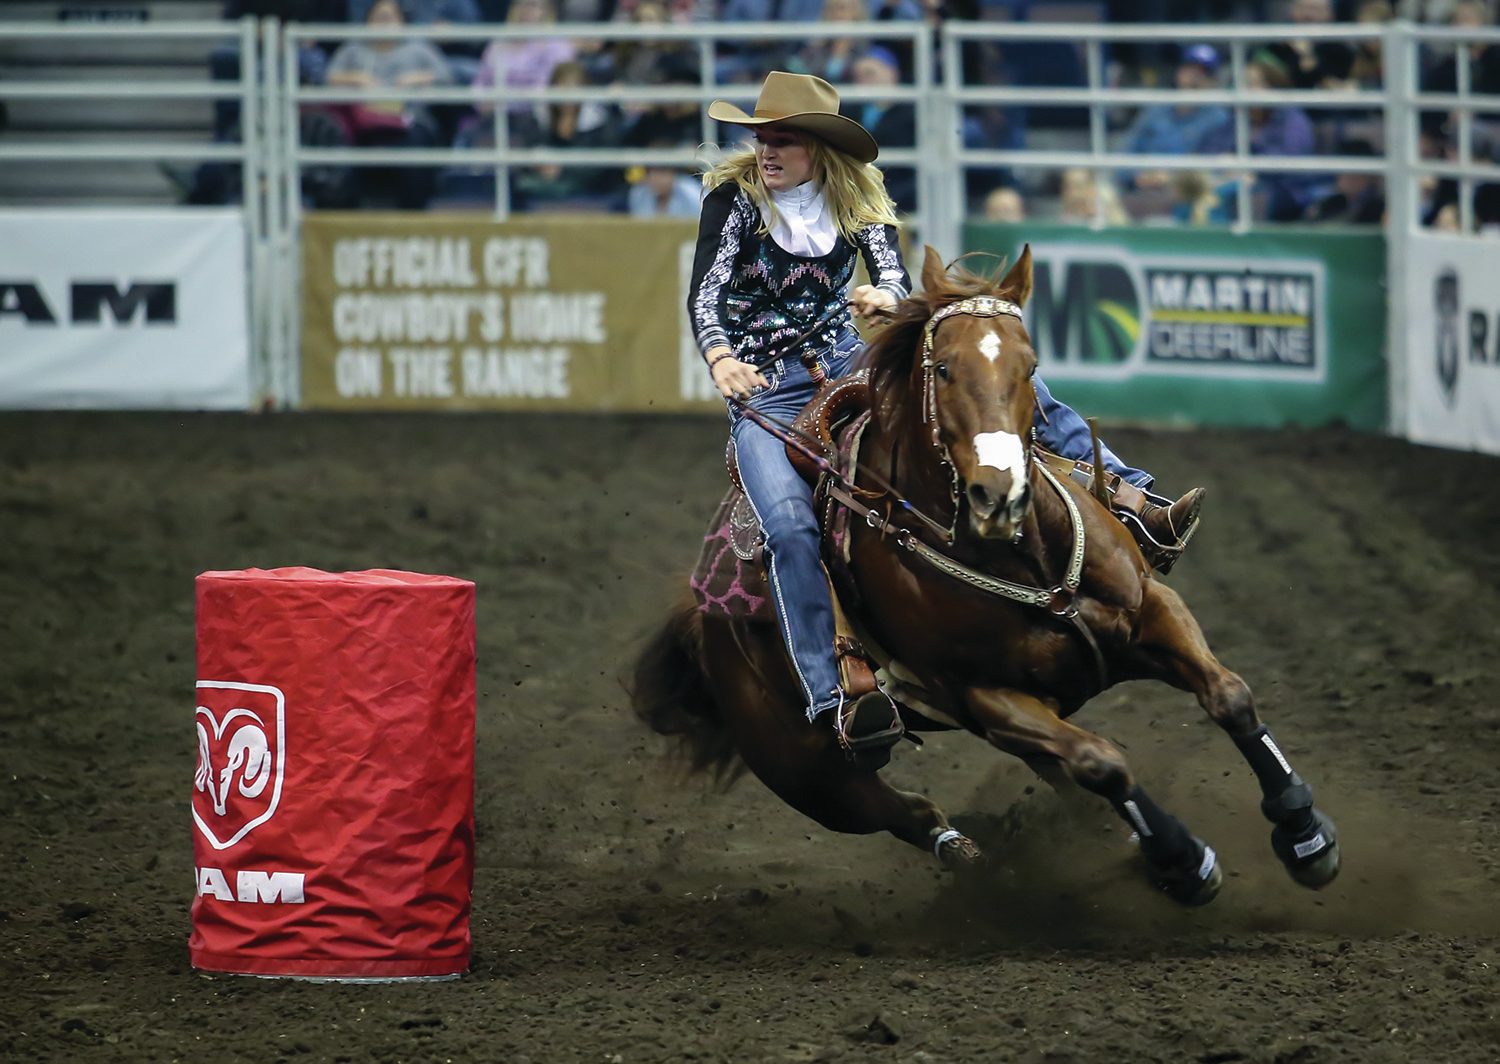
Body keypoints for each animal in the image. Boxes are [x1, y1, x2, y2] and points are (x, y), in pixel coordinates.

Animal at [630, 243, 1338, 906]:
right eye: (943, 369)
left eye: (1031, 367)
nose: (999, 496)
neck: (1026, 561)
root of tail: (703, 615)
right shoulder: (986, 699)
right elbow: (1103, 763)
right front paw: (1185, 862)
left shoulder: (1153, 610)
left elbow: (1229, 696)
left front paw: (1305, 835)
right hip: (807, 773)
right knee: (904, 811)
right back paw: (981, 860)